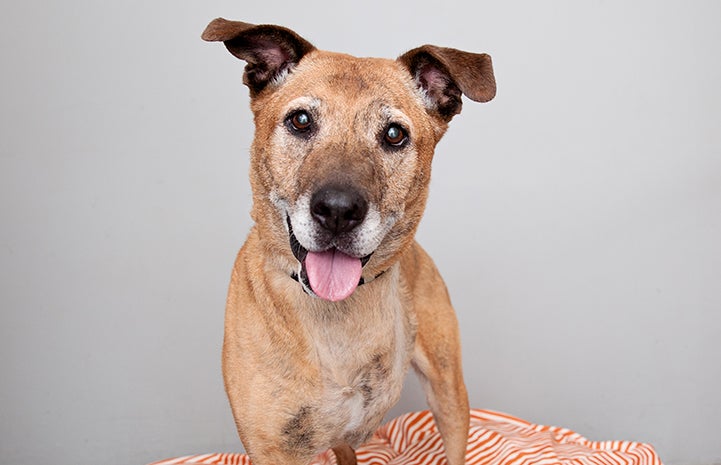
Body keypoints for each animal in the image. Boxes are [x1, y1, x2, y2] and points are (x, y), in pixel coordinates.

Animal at [202, 18, 496, 464]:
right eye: (300, 121)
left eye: (394, 134)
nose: (338, 211)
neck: (335, 315)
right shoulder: (274, 447)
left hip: (448, 390)